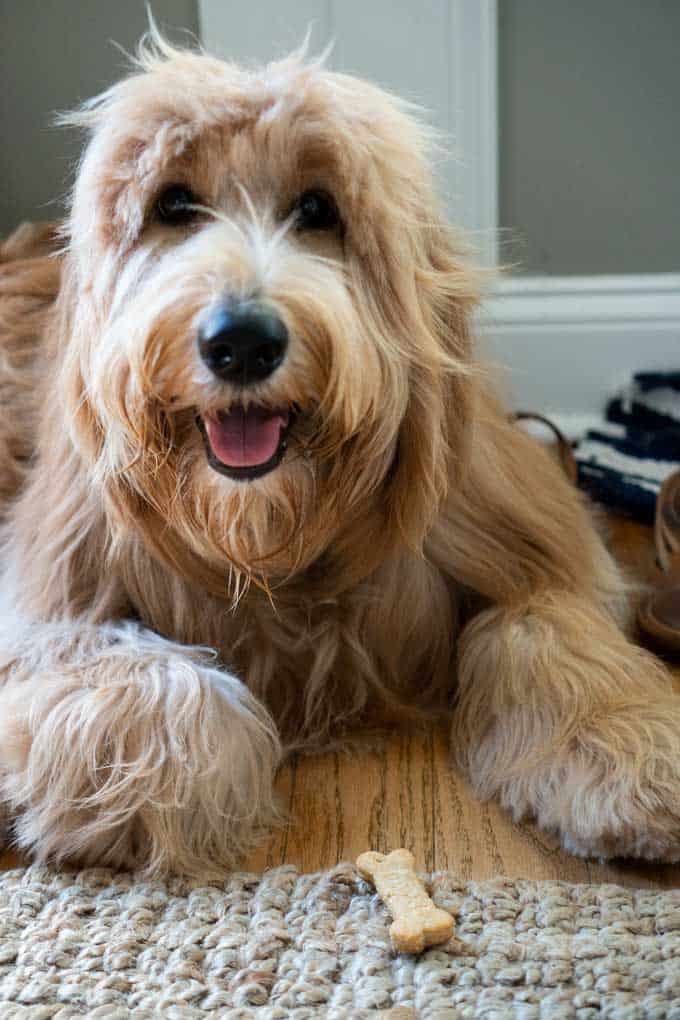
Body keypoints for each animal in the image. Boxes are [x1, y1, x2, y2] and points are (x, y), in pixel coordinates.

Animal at [1, 31, 680, 877]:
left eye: (318, 210)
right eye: (173, 205)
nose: (240, 342)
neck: (272, 535)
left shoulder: (514, 528)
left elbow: (545, 625)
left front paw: (629, 755)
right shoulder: (61, 580)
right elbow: (136, 674)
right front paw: (172, 783)